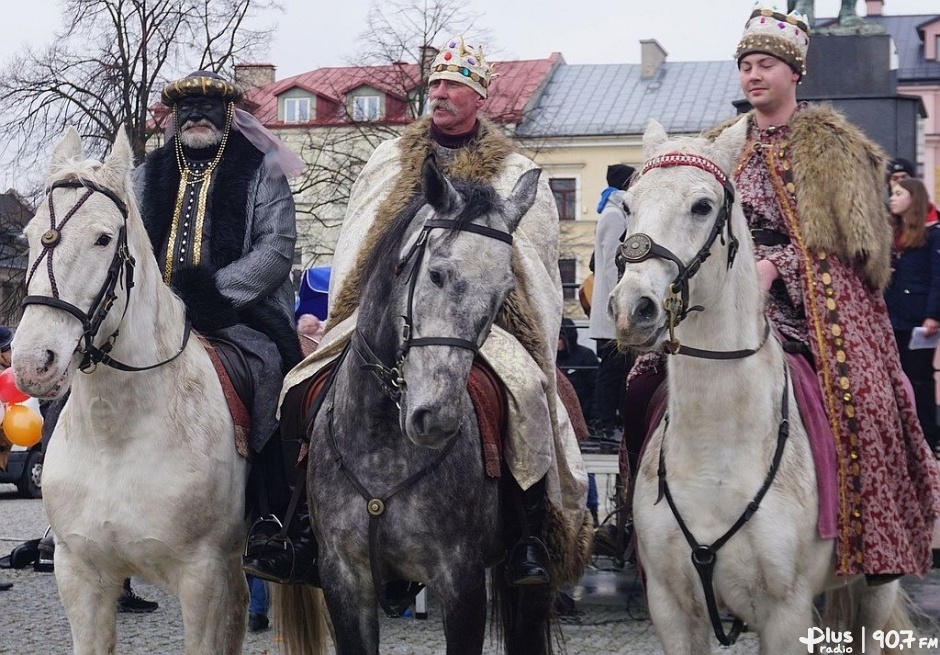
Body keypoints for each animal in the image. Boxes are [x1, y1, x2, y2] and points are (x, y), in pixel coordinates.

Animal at [13, 129, 248, 655]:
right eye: (30, 235)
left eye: (103, 238)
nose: (33, 362)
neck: (116, 435)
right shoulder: (80, 575)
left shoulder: (202, 579)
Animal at [608, 119, 912, 655]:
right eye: (628, 206)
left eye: (702, 206)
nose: (633, 310)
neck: (718, 449)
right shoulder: (671, 607)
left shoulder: (786, 614)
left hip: (878, 587)